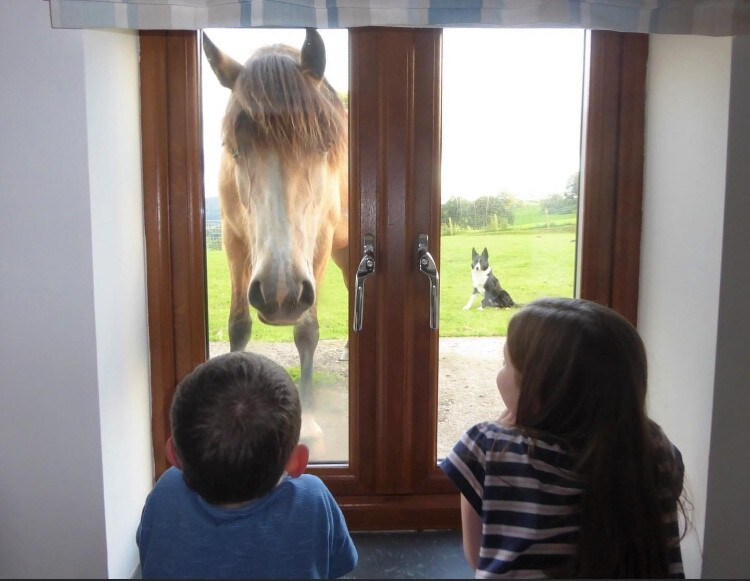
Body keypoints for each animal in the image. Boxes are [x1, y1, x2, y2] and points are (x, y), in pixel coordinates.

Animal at [203, 28, 350, 440]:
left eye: (323, 146)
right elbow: (238, 326)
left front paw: (309, 424)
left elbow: (306, 332)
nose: (281, 294)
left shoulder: (320, 243)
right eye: (234, 150)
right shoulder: (234, 242)